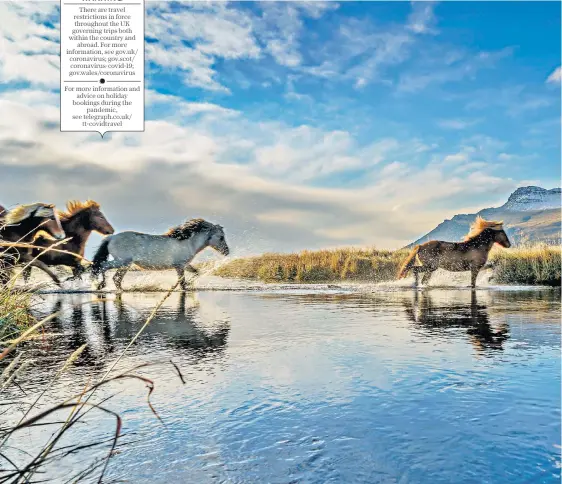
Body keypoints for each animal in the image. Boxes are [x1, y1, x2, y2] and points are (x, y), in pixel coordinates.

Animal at [91, 218, 229, 292]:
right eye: (221, 237)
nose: (227, 252)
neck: (188, 242)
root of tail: (111, 238)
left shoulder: (184, 265)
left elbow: (196, 273)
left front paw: (189, 284)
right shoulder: (179, 266)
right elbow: (182, 282)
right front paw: (185, 287)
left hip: (124, 264)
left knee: (115, 277)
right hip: (122, 262)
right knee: (104, 267)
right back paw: (101, 285)